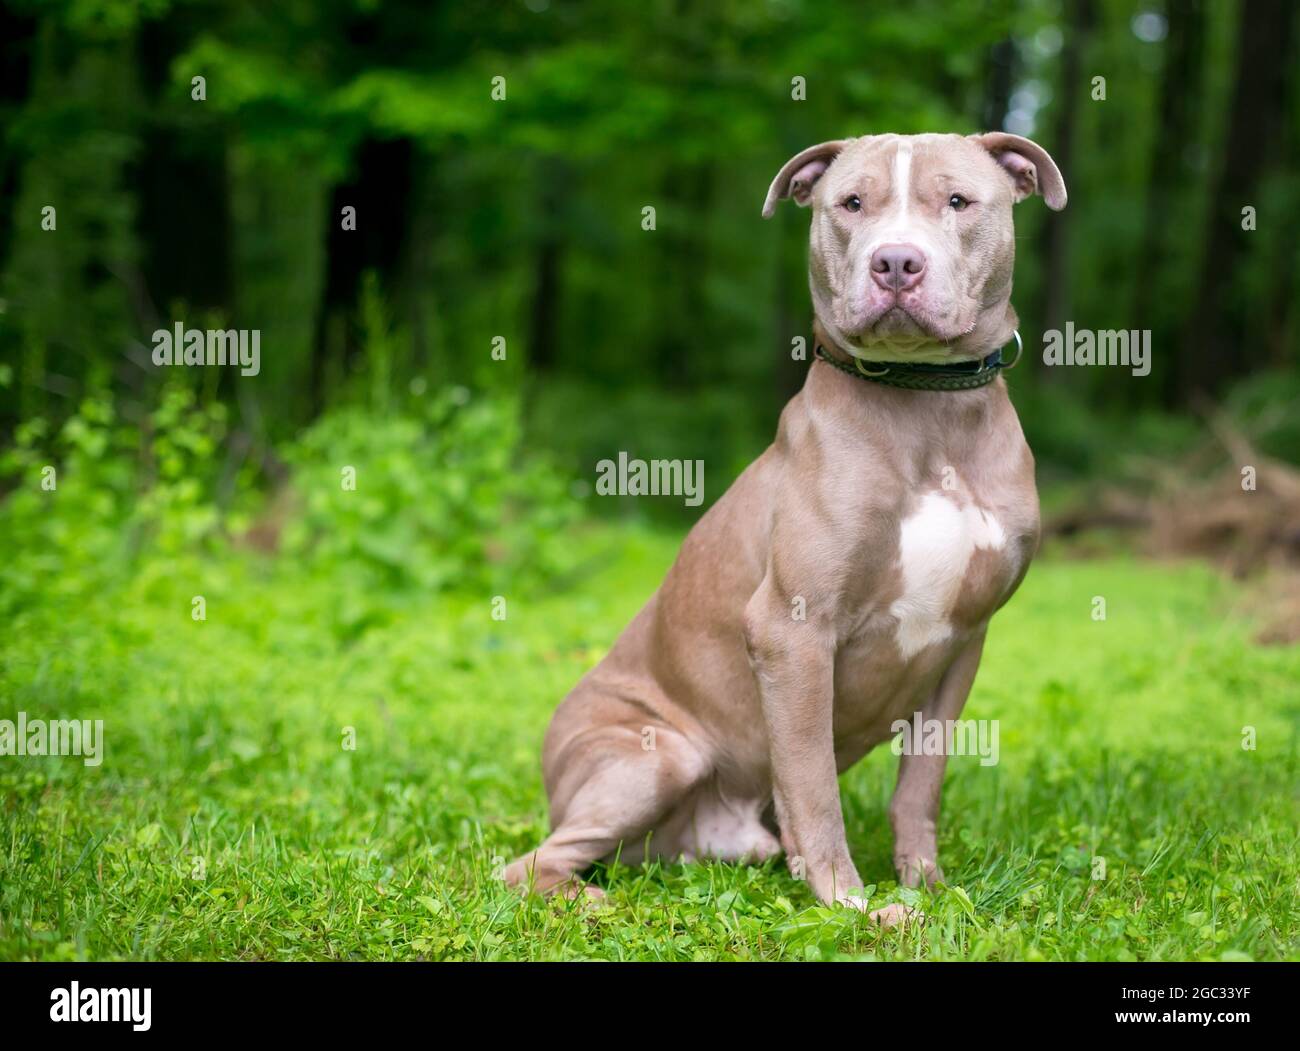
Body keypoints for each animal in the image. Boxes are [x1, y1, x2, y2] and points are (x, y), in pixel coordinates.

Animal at [506, 131, 1066, 920]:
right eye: (851, 203)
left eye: (957, 201)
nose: (896, 262)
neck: (926, 405)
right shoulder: (793, 629)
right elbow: (812, 783)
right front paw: (853, 904)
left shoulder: (963, 641)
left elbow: (920, 784)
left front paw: (927, 886)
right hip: (657, 753)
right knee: (529, 867)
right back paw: (596, 906)